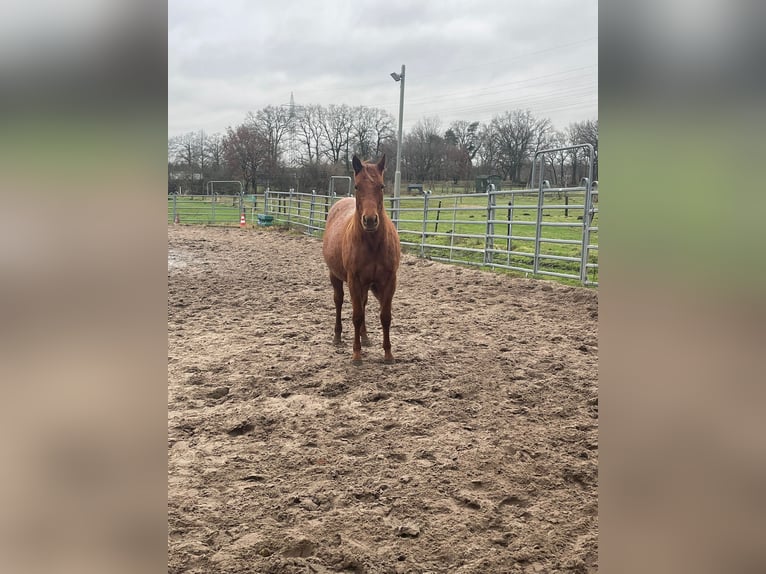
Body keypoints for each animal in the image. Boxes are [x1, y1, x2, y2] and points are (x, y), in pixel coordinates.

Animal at [324, 154, 404, 364]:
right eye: (357, 186)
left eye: (381, 186)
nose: (370, 220)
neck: (373, 243)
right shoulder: (353, 280)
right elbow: (357, 315)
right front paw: (356, 354)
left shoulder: (389, 280)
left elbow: (385, 316)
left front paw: (388, 354)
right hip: (335, 276)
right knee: (339, 301)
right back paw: (337, 336)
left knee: (364, 302)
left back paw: (365, 336)